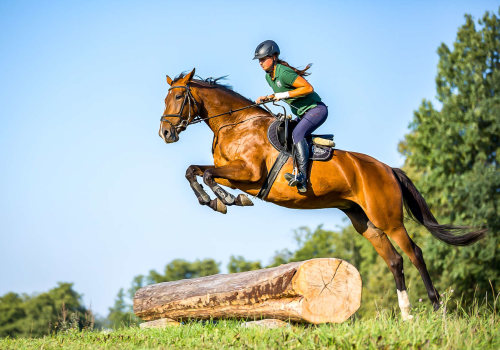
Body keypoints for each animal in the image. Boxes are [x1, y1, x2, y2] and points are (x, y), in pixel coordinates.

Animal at [158, 67, 486, 320]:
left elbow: (207, 173)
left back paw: (437, 307)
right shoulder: (235, 174)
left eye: (179, 97)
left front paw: (225, 200)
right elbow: (194, 170)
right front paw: (215, 199)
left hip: (389, 218)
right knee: (394, 260)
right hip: (364, 221)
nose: (165, 133)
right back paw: (406, 314)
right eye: (166, 97)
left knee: (415, 253)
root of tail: (388, 169)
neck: (235, 124)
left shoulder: (248, 173)